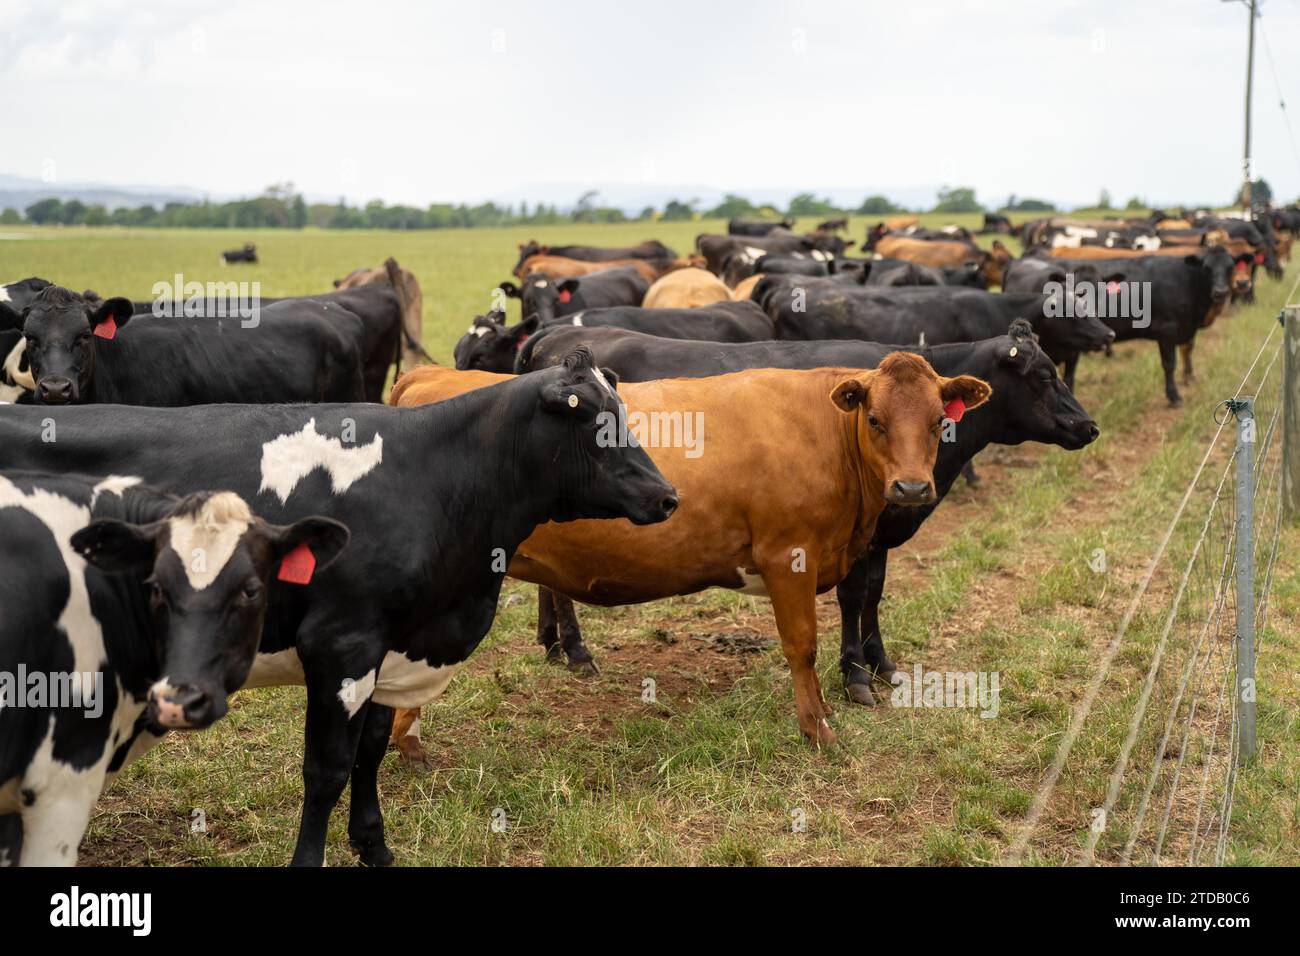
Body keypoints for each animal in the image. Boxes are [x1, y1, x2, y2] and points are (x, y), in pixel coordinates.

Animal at [514, 321, 1097, 702]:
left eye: (937, 418)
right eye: (1045, 376)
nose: (1088, 426)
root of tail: (551, 338)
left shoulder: (877, 532)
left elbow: (875, 593)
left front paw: (882, 664)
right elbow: (854, 596)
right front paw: (856, 673)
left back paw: (552, 642)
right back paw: (577, 649)